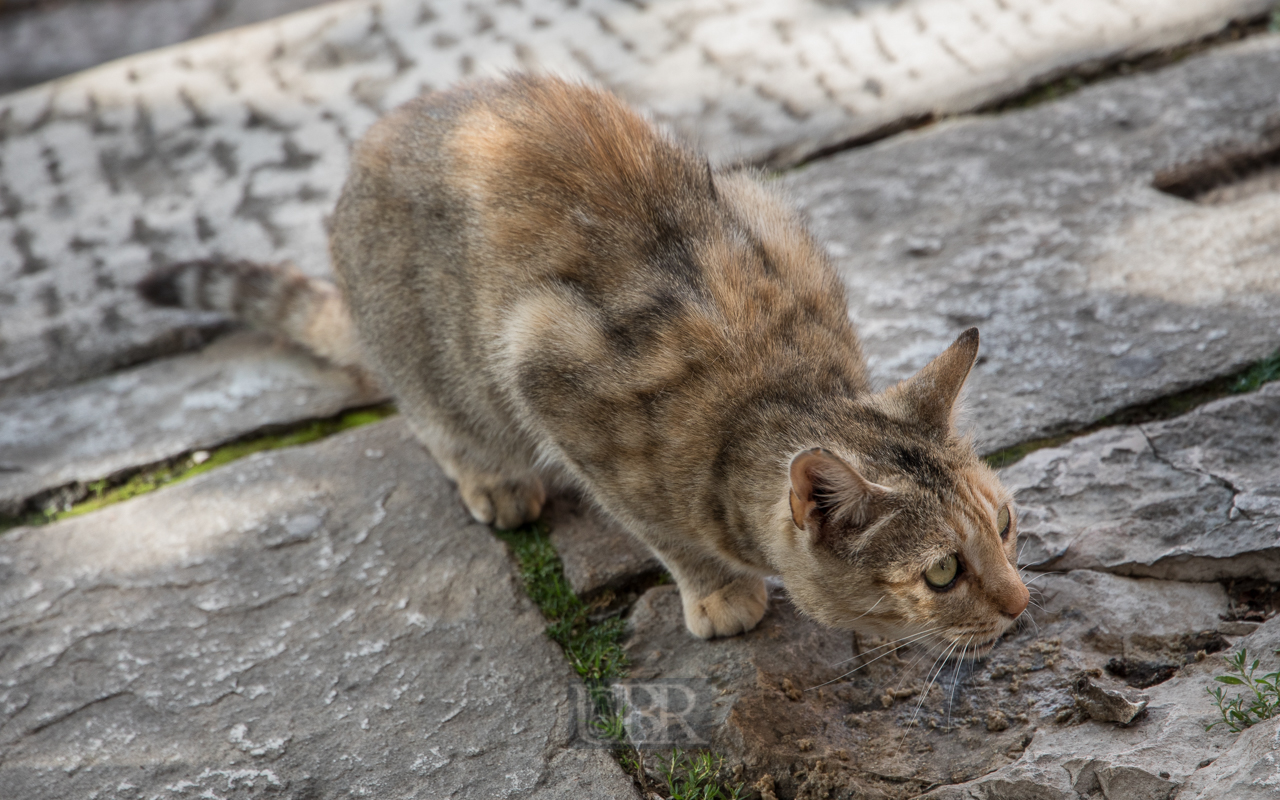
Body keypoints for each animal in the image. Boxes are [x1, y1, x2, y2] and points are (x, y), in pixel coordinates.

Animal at [142, 73, 1029, 650]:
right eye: (943, 572)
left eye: (1007, 525)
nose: (1022, 603)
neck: (772, 391)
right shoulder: (552, 377)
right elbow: (661, 527)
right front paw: (718, 591)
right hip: (437, 359)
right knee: (432, 418)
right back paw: (492, 478)